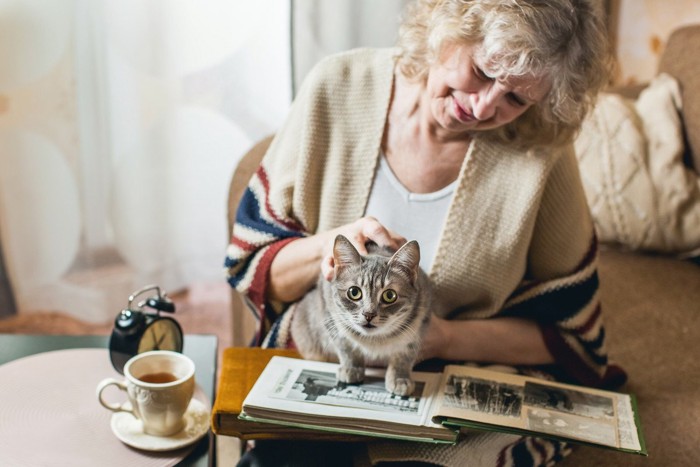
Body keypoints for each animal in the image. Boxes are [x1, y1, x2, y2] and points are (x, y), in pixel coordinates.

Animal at [290, 236, 432, 396]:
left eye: (390, 295)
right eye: (354, 292)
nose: (368, 314)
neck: (374, 340)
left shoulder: (418, 327)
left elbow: (404, 357)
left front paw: (400, 378)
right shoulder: (331, 317)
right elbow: (347, 348)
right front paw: (351, 368)